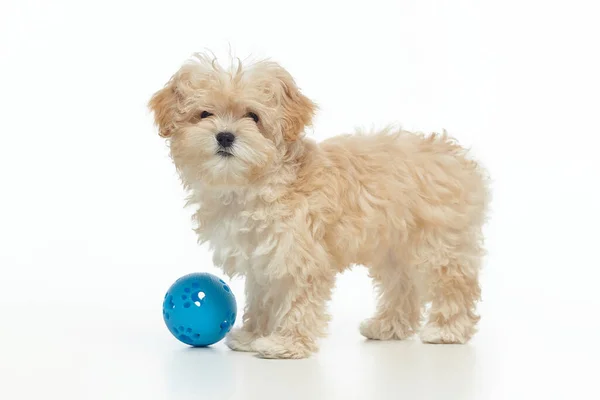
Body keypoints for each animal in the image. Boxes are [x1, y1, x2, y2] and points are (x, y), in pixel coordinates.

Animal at [149, 54, 488, 360]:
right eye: (204, 114)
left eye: (253, 116)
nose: (225, 136)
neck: (254, 183)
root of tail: (453, 154)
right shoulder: (262, 258)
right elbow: (262, 298)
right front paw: (254, 335)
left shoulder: (299, 255)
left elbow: (297, 300)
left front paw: (286, 344)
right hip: (392, 248)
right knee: (401, 287)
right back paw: (387, 326)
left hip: (438, 243)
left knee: (454, 283)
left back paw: (447, 329)